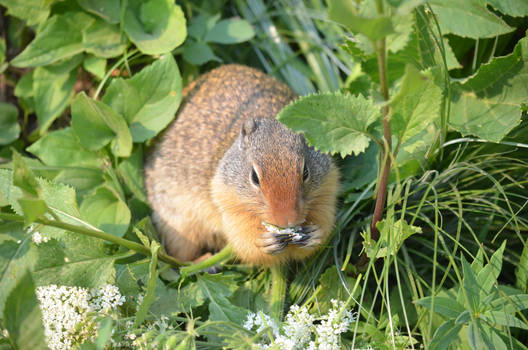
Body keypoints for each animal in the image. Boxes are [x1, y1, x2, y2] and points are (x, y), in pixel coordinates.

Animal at [144, 64, 340, 266]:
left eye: (305, 172)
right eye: (254, 177)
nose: (287, 221)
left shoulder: (327, 191)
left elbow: (324, 223)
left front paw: (314, 235)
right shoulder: (229, 205)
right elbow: (245, 239)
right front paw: (264, 241)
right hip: (177, 224)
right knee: (180, 256)